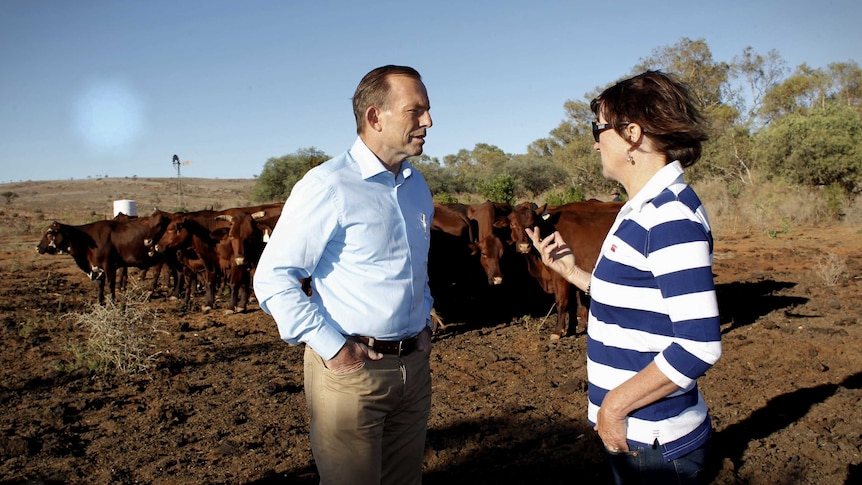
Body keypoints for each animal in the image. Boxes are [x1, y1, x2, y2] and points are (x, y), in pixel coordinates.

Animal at [506, 199, 620, 336]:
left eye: (533, 224)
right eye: (512, 224)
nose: (524, 246)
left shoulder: (559, 277)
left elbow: (561, 302)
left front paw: (557, 331)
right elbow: (572, 304)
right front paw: (571, 329)